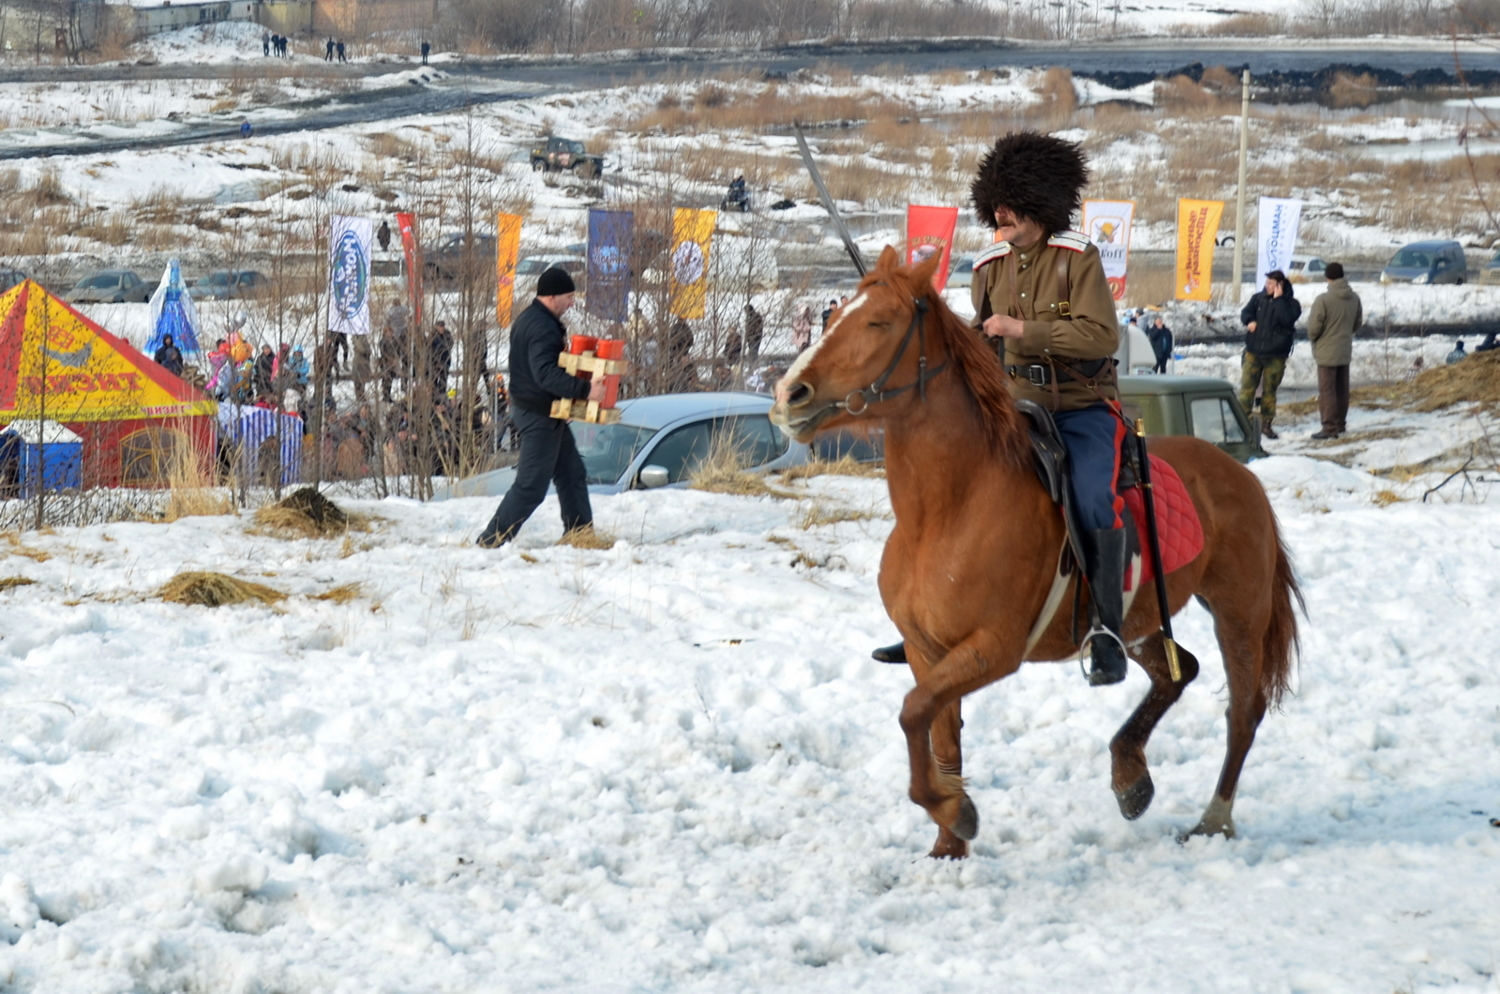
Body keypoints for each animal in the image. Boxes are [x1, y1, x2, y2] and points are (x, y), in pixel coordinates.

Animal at [774, 244, 1302, 857]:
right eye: (833, 316)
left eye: (879, 323)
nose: (789, 395)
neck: (947, 511)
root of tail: (1241, 474)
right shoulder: (928, 652)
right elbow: (936, 731)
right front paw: (948, 843)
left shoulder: (994, 649)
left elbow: (912, 713)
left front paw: (955, 811)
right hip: (1138, 620)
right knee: (1178, 671)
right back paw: (1130, 777)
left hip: (1238, 613)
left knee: (1242, 711)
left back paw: (1213, 818)